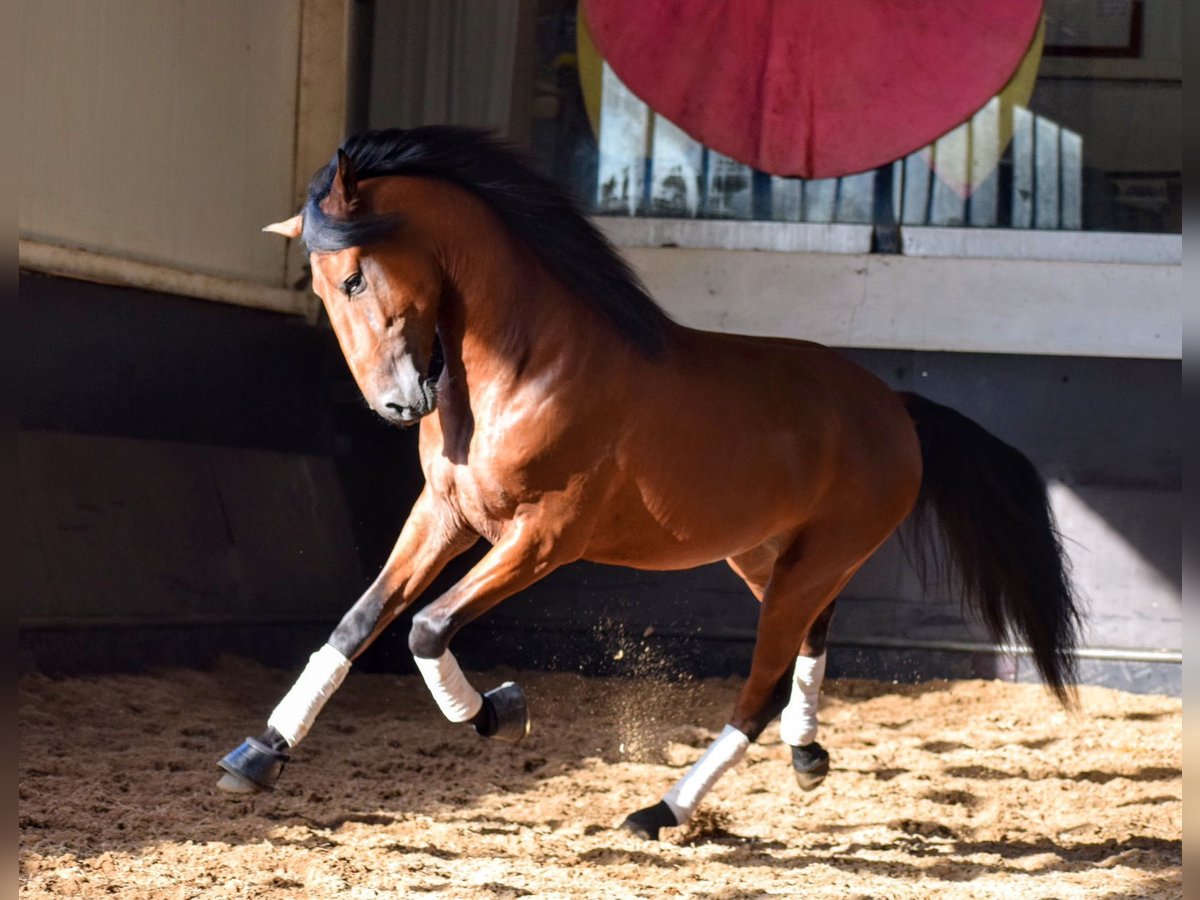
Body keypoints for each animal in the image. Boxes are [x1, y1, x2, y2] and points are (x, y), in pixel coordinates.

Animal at [213, 125, 1080, 840]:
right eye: (321, 287)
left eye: (357, 277)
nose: (398, 404)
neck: (526, 368)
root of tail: (895, 408)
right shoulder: (446, 514)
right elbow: (359, 621)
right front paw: (258, 754)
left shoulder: (544, 538)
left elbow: (427, 626)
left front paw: (500, 713)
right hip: (767, 558)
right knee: (811, 640)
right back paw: (806, 757)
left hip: (814, 560)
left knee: (758, 691)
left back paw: (663, 811)